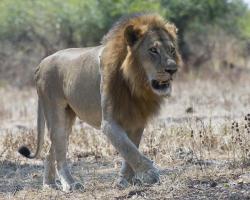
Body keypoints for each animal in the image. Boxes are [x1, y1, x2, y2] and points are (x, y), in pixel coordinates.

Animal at [18, 13, 182, 191]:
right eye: (153, 50)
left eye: (172, 50)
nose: (173, 70)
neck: (135, 83)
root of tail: (40, 64)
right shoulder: (109, 122)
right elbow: (128, 149)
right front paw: (151, 174)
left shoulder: (137, 120)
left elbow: (131, 150)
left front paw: (125, 181)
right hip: (56, 113)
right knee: (60, 154)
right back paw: (70, 184)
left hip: (68, 117)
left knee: (50, 152)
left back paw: (49, 184)